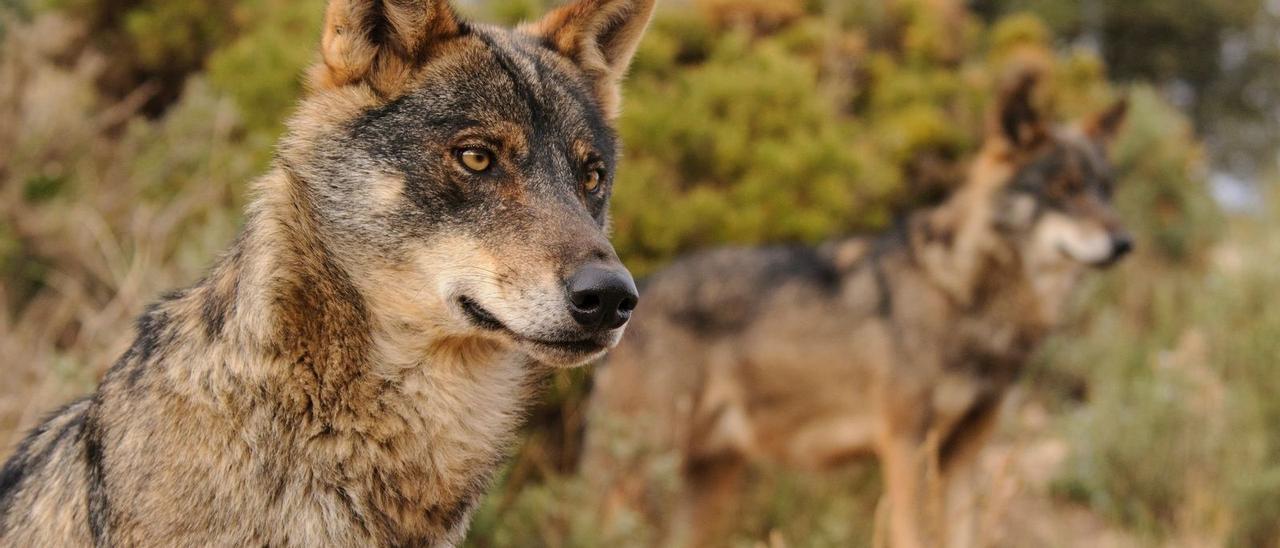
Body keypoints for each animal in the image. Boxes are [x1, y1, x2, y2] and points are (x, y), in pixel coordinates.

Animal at [581, 73, 1131, 548]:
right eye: (1063, 189)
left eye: (1105, 190)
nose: (1125, 243)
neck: (961, 291)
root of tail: (638, 290)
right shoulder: (906, 446)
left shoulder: (965, 455)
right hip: (640, 473)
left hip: (708, 483)